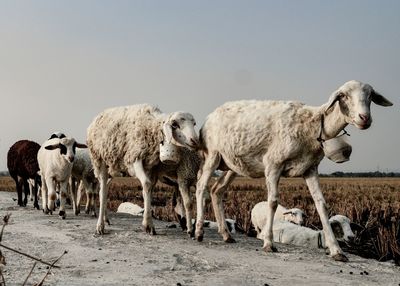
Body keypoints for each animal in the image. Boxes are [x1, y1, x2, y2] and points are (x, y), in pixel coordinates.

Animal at [88, 104, 199, 235]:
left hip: (113, 167)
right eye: (175, 124)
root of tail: (97, 117)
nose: (195, 141)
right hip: (99, 160)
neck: (152, 127)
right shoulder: (135, 157)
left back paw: (106, 218)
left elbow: (149, 189)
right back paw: (100, 226)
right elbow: (146, 184)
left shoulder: (151, 167)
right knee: (103, 191)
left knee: (106, 188)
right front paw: (148, 225)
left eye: (194, 123)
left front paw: (147, 221)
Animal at [195, 80, 392, 262]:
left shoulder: (310, 168)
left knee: (216, 191)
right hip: (212, 155)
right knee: (201, 187)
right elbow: (273, 202)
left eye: (371, 96)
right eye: (343, 96)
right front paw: (268, 243)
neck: (312, 125)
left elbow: (321, 205)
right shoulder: (273, 163)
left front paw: (337, 251)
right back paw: (198, 231)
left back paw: (226, 235)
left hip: (232, 165)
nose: (364, 118)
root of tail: (210, 116)